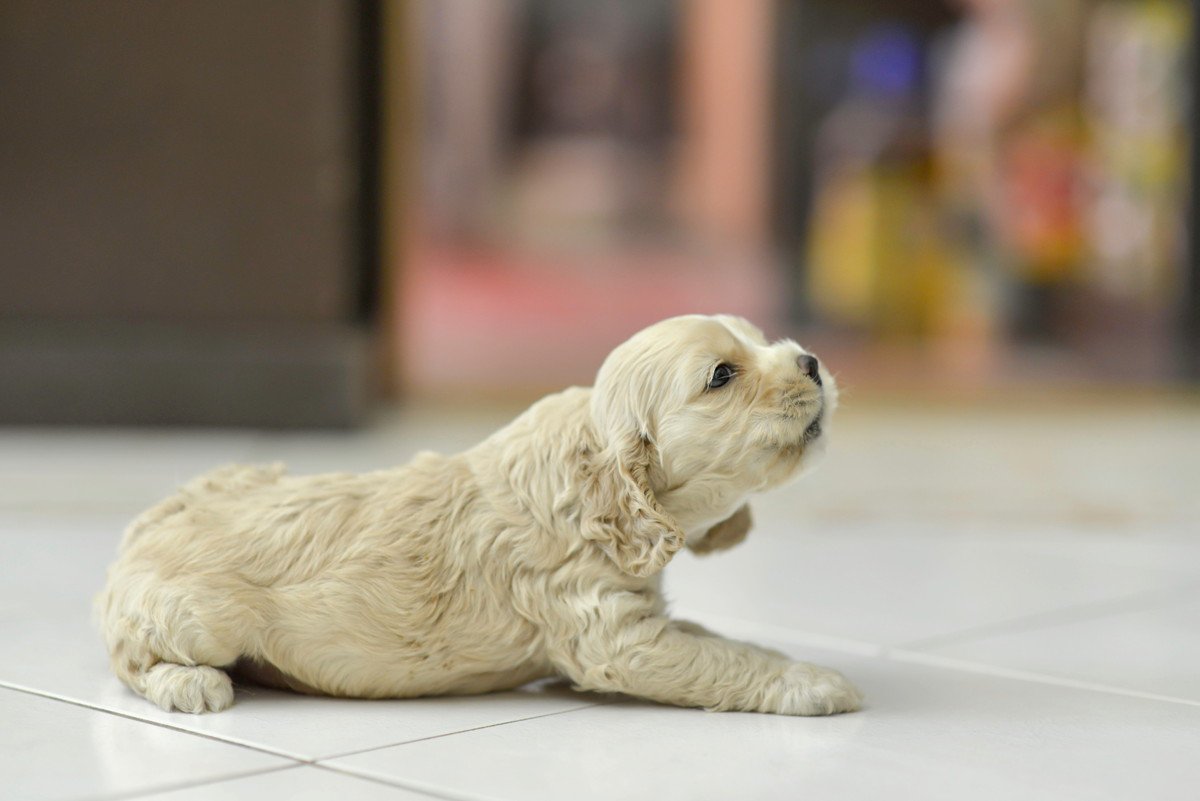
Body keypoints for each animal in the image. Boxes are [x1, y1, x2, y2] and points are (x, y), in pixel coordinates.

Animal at [96, 311, 864, 714]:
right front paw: (813, 680)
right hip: (196, 617)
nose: (810, 361)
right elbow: (715, 660)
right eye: (722, 375)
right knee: (129, 659)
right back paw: (190, 683)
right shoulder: (612, 635)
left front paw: (781, 652)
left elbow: (714, 636)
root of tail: (136, 533)